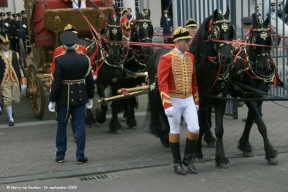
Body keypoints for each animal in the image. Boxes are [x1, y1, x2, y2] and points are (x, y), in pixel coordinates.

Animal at [228, 15, 278, 165]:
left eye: (269, 40)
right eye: (255, 41)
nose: (264, 67)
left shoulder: (258, 96)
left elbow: (250, 122)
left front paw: (245, 146)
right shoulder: (248, 96)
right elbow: (261, 125)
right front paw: (270, 153)